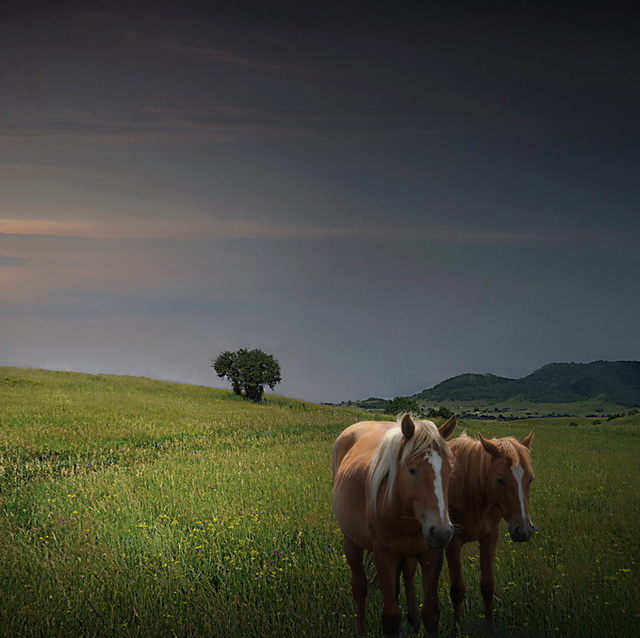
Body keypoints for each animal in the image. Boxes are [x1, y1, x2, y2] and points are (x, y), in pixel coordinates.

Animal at [332, 418, 458, 636]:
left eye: (449, 470)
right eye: (412, 470)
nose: (441, 532)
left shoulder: (431, 555)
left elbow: (431, 613)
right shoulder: (384, 554)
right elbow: (390, 617)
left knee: (406, 575)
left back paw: (413, 620)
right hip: (351, 542)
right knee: (360, 587)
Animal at [444, 430, 536, 632]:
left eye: (530, 478)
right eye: (500, 479)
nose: (524, 530)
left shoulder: (490, 536)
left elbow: (487, 586)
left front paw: (490, 627)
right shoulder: (452, 542)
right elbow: (457, 590)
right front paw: (456, 629)